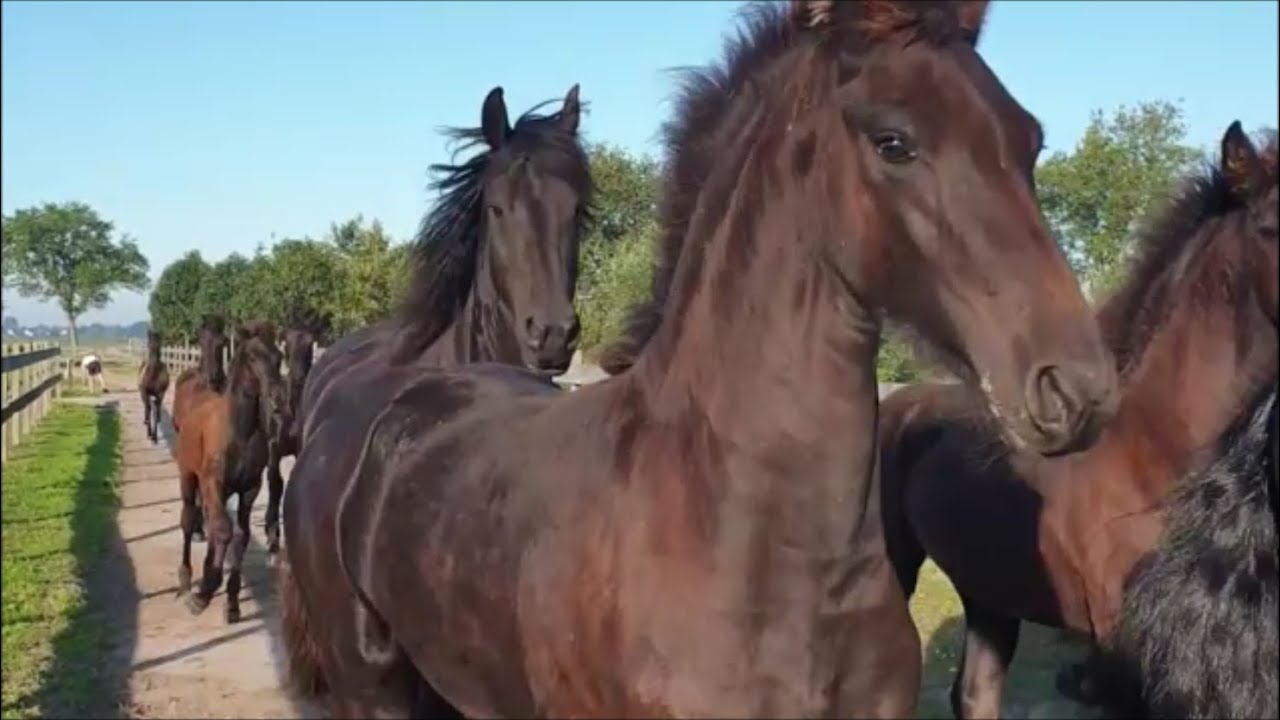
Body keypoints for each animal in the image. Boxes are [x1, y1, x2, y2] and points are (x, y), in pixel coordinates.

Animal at [174, 326, 287, 623]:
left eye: (279, 356)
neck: (240, 433)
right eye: (252, 357)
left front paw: (233, 602)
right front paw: (204, 591)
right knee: (189, 519)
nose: (278, 400)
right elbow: (224, 530)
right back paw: (186, 579)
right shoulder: (213, 483)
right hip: (188, 477)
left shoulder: (249, 489)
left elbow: (241, 535)